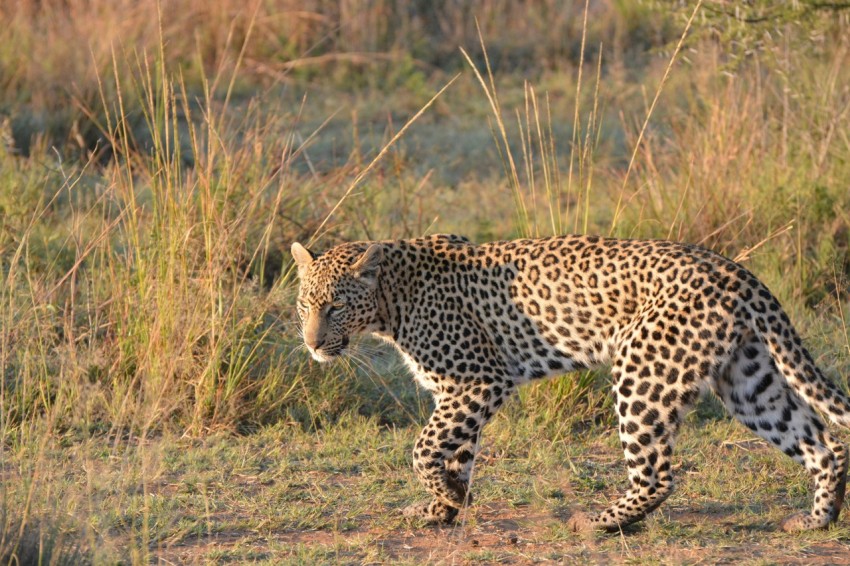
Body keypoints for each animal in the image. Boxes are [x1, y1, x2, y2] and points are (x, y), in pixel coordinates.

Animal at [288, 233, 844, 536]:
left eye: (335, 306)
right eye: (304, 304)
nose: (312, 344)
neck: (389, 301)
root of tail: (738, 273)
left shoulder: (478, 380)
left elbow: (424, 449)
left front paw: (445, 497)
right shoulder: (458, 392)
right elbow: (456, 454)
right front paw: (445, 507)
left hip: (642, 373)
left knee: (657, 475)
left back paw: (599, 523)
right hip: (747, 380)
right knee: (823, 443)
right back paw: (818, 520)